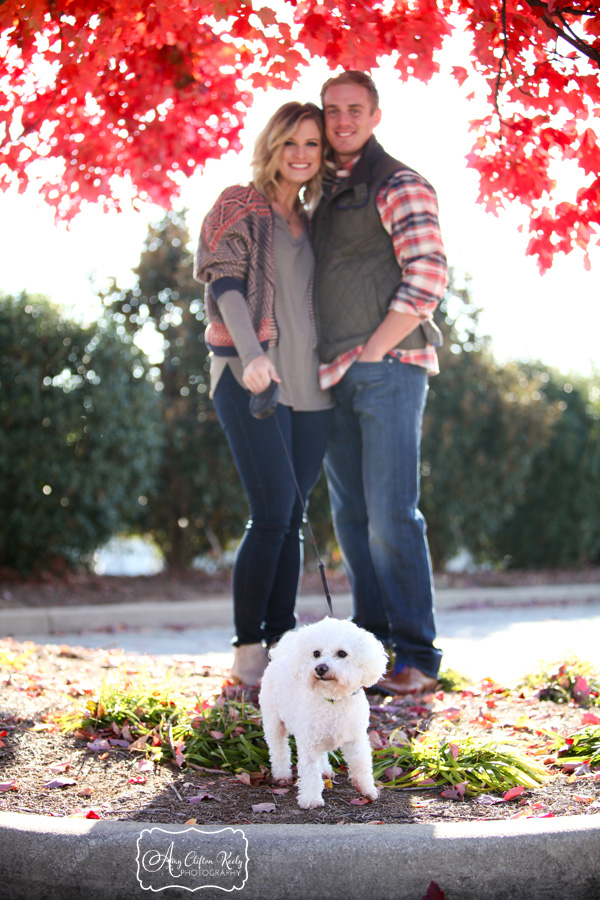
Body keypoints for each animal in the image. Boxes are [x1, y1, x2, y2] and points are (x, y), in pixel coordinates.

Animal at [258, 620, 390, 808]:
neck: (333, 700)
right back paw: (282, 775)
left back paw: (326, 770)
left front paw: (367, 790)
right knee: (279, 749)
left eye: (342, 653)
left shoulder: (356, 739)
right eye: (316, 653)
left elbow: (361, 764)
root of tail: (281, 655)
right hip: (273, 721)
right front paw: (311, 799)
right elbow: (310, 771)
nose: (320, 668)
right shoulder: (309, 743)